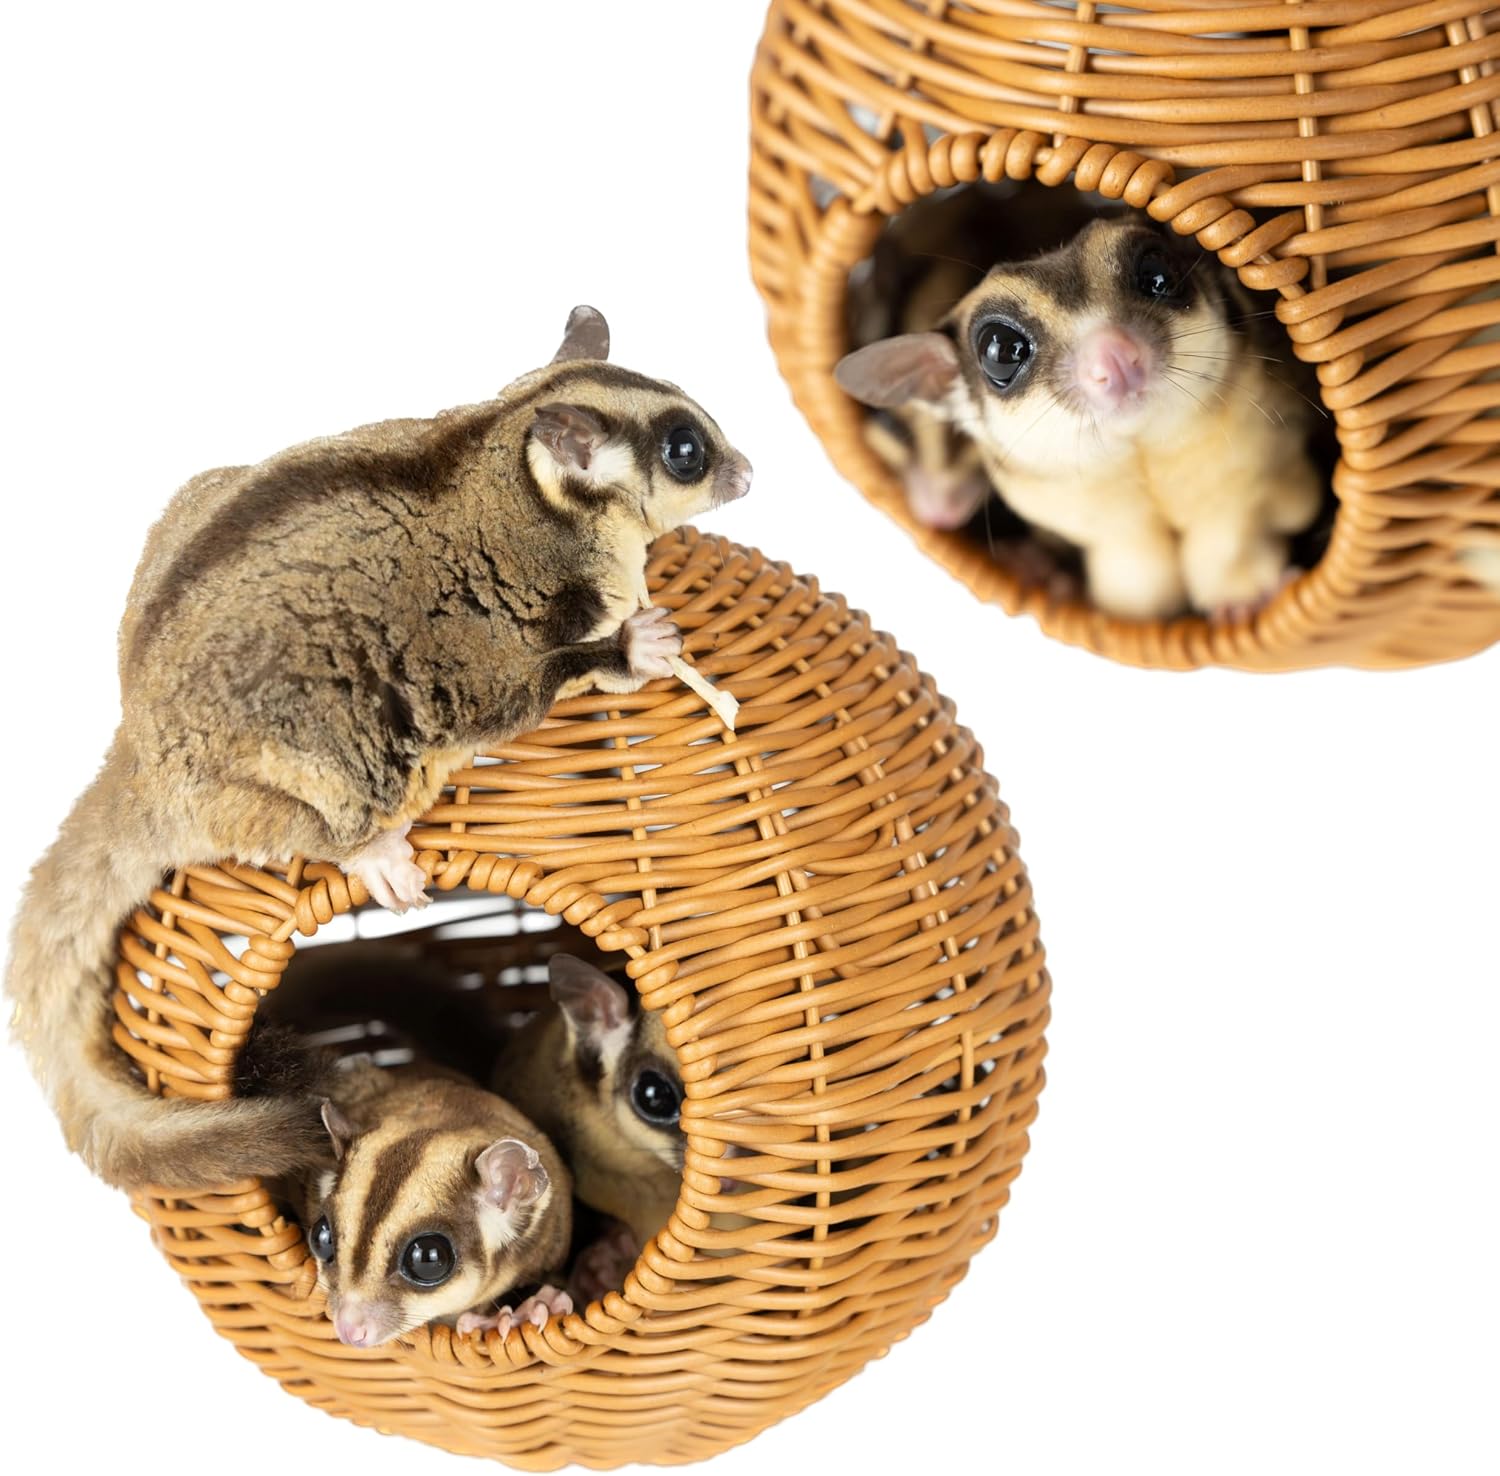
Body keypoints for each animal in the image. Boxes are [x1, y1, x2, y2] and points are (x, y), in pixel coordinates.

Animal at [6, 305, 752, 1192]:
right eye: (686, 451)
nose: (749, 472)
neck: (506, 460)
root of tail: (138, 756)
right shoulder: (500, 659)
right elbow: (548, 678)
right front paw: (640, 646)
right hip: (314, 770)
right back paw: (372, 853)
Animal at [836, 212, 1323, 620]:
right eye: (1001, 350)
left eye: (1158, 277)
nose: (1114, 354)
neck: (1141, 454)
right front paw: (1038, 570)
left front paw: (1246, 603)